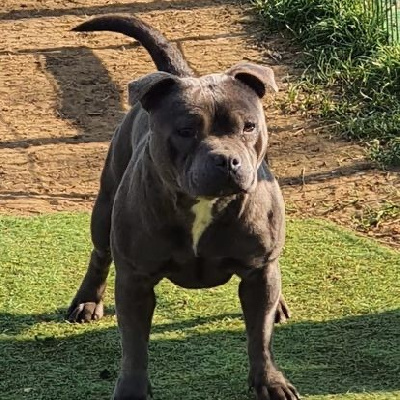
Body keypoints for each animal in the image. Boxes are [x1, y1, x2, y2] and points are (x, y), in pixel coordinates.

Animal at [67, 15, 299, 400]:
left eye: (249, 126)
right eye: (186, 130)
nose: (227, 160)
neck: (203, 206)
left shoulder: (258, 274)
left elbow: (260, 336)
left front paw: (269, 380)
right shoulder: (135, 282)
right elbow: (134, 345)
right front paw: (131, 389)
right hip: (104, 206)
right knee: (100, 254)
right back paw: (86, 300)